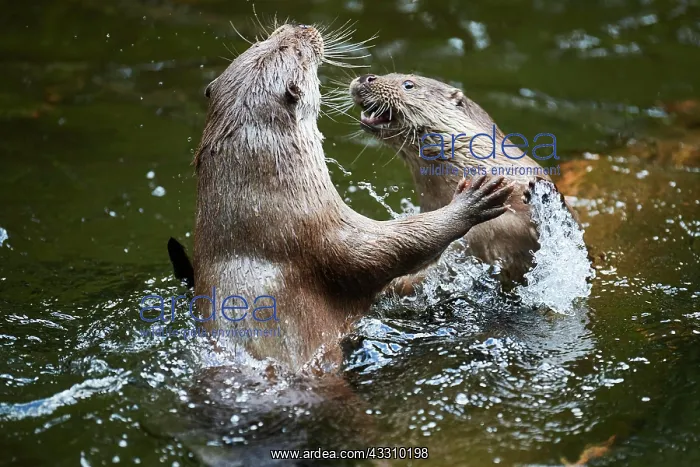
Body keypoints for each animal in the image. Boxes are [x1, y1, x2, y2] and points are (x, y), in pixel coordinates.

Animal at [178, 25, 514, 374]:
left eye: (264, 40)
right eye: (296, 50)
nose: (300, 27)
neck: (261, 211)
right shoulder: (327, 236)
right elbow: (401, 245)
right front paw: (472, 202)